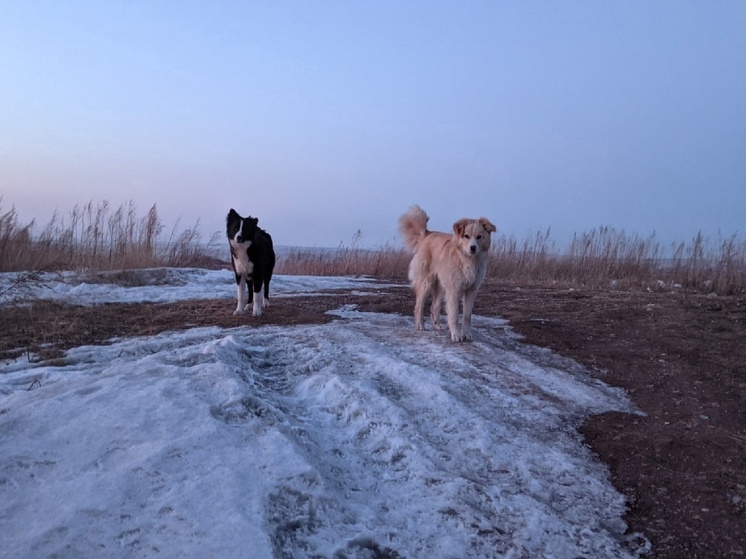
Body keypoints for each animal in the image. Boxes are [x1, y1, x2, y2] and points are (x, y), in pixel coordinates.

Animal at [398, 206, 496, 342]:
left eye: (479, 237)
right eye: (466, 236)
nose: (473, 248)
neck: (468, 260)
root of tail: (427, 234)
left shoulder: (471, 291)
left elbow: (467, 317)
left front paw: (466, 334)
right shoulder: (454, 291)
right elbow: (454, 315)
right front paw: (456, 335)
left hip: (441, 287)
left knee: (434, 306)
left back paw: (437, 326)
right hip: (426, 283)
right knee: (419, 306)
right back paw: (420, 325)